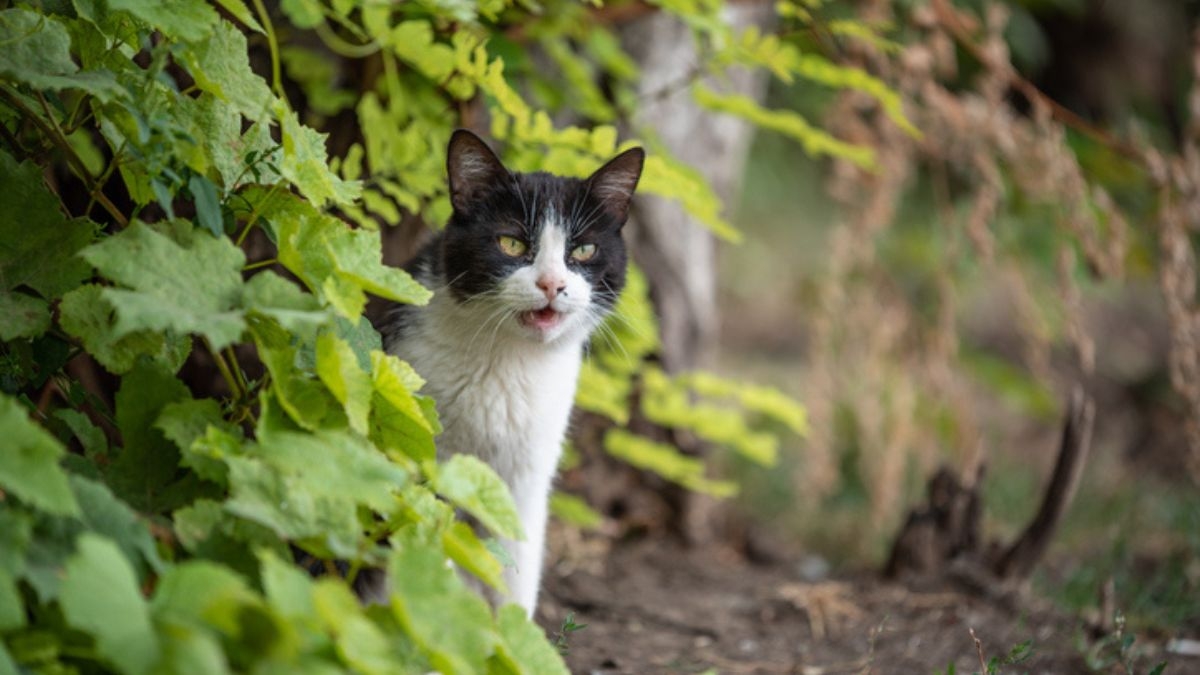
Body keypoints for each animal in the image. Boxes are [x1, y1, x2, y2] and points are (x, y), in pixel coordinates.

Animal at [381, 128, 648, 612]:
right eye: (512, 244)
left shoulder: (526, 478)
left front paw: (511, 632)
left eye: (584, 249)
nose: (552, 284)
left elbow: (517, 565)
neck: (508, 361)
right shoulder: (421, 443)